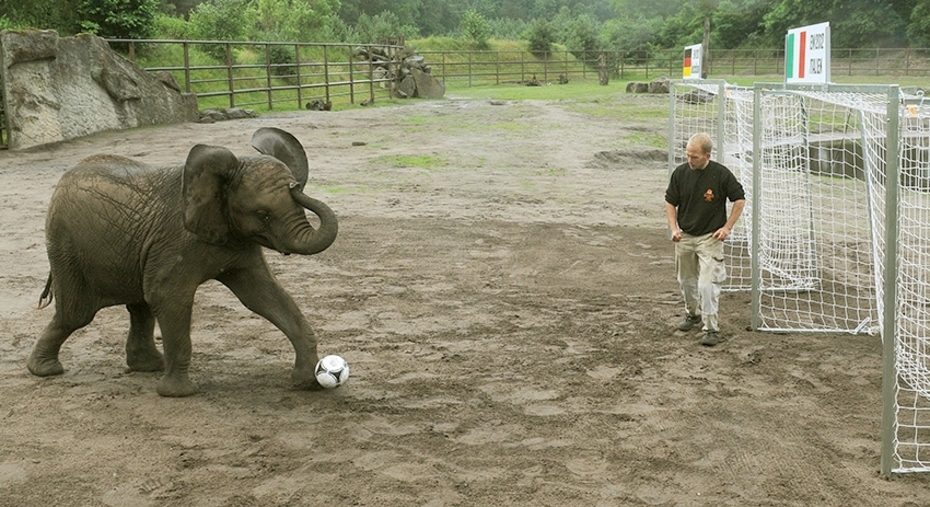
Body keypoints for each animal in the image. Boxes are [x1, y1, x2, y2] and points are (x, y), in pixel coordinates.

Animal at [26, 127, 340, 396]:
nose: (295, 185)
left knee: (139, 306)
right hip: (65, 245)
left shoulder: (235, 240)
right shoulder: (176, 240)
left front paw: (305, 382)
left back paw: (148, 366)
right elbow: (169, 296)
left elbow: (263, 296)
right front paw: (179, 393)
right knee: (76, 314)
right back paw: (44, 370)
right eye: (263, 214)